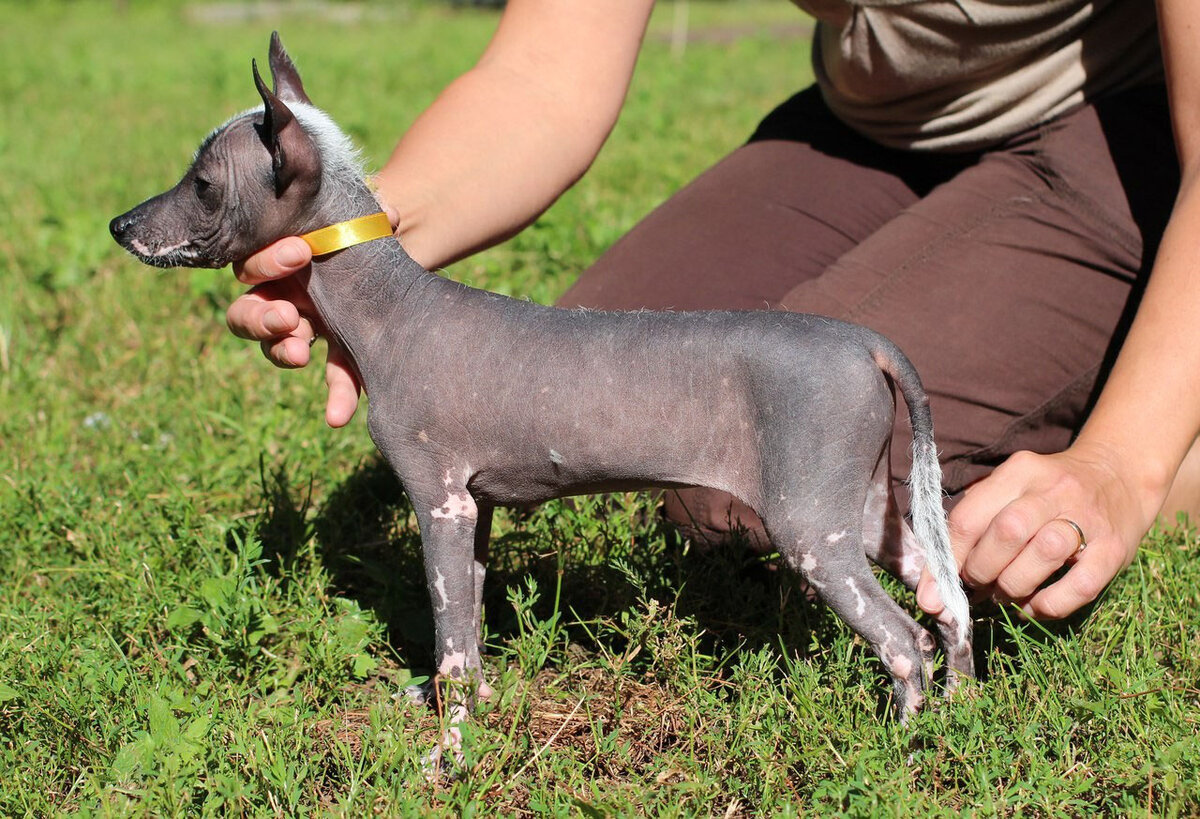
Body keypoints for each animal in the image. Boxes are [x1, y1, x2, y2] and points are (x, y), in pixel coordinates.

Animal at [112, 33, 974, 763]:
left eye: (201, 184)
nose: (120, 225)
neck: (390, 307)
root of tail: (864, 341)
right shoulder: (477, 509)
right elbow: (472, 628)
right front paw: (474, 710)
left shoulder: (439, 501)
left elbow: (451, 643)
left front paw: (449, 753)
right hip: (863, 508)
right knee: (948, 603)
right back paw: (961, 719)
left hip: (809, 525)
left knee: (906, 640)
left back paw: (903, 751)